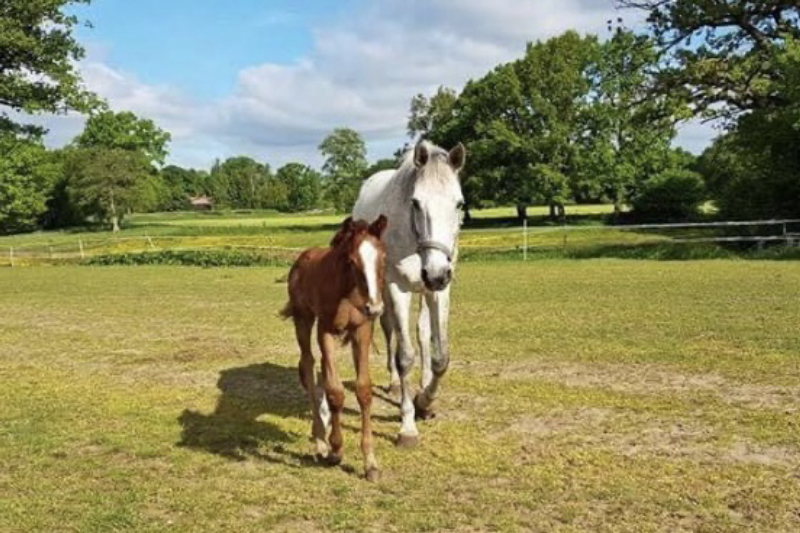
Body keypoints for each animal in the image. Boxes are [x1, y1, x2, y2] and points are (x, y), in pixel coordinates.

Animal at [282, 214, 390, 480]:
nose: (375, 307)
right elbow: (336, 392)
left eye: (383, 257)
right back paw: (321, 441)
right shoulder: (326, 330)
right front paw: (336, 450)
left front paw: (370, 463)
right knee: (309, 365)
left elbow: (363, 390)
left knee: (319, 366)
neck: (348, 292)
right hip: (303, 318)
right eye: (351, 261)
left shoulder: (362, 330)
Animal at [354, 139, 466, 446]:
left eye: (459, 204)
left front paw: (425, 401)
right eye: (415, 203)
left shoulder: (440, 290)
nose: (437, 273)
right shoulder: (397, 287)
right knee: (389, 328)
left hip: (426, 290)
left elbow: (440, 356)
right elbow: (404, 356)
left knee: (422, 333)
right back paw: (393, 384)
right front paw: (407, 426)